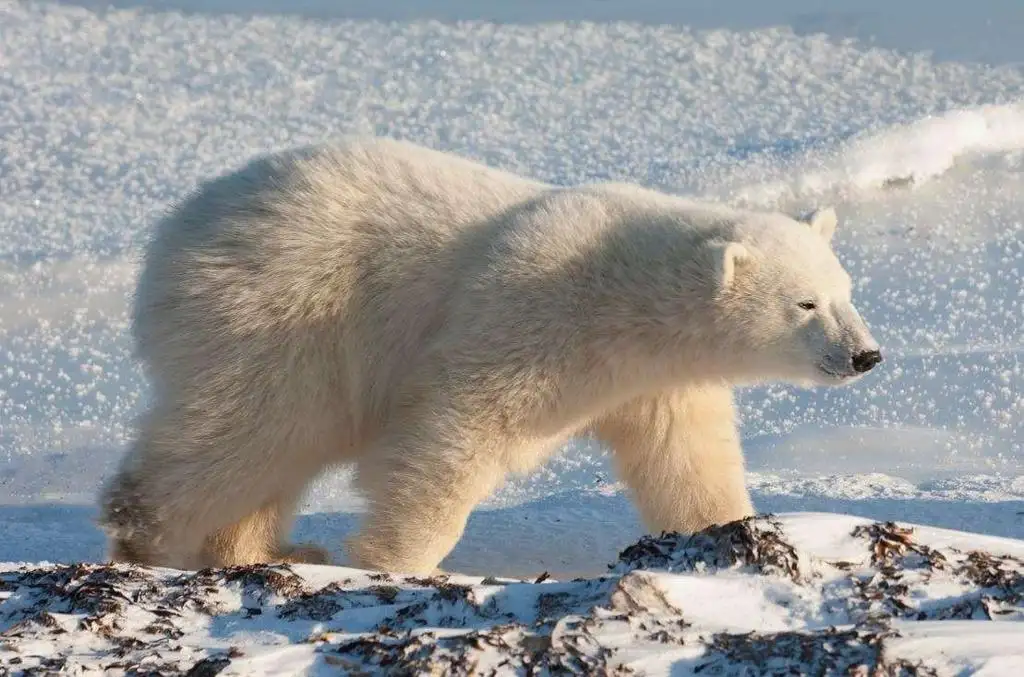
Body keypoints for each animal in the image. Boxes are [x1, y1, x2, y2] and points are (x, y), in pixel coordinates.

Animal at [97, 136, 880, 569]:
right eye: (805, 303)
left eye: (845, 290)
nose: (865, 355)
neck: (624, 296)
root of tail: (176, 229)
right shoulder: (530, 314)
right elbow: (456, 429)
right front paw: (399, 560)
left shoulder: (654, 381)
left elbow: (686, 458)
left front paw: (731, 530)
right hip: (284, 309)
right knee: (251, 427)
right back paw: (144, 533)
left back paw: (267, 550)